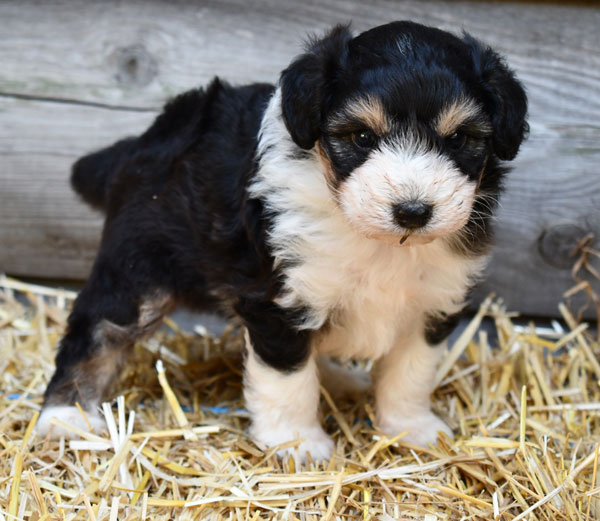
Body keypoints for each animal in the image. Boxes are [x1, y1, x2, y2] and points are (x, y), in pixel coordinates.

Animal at [36, 22, 524, 458]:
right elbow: (289, 377)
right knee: (96, 330)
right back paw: (65, 416)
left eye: (458, 139)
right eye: (362, 136)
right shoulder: (279, 301)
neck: (371, 237)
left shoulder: (432, 301)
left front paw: (411, 428)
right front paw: (297, 443)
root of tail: (145, 140)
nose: (413, 211)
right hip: (136, 271)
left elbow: (410, 372)